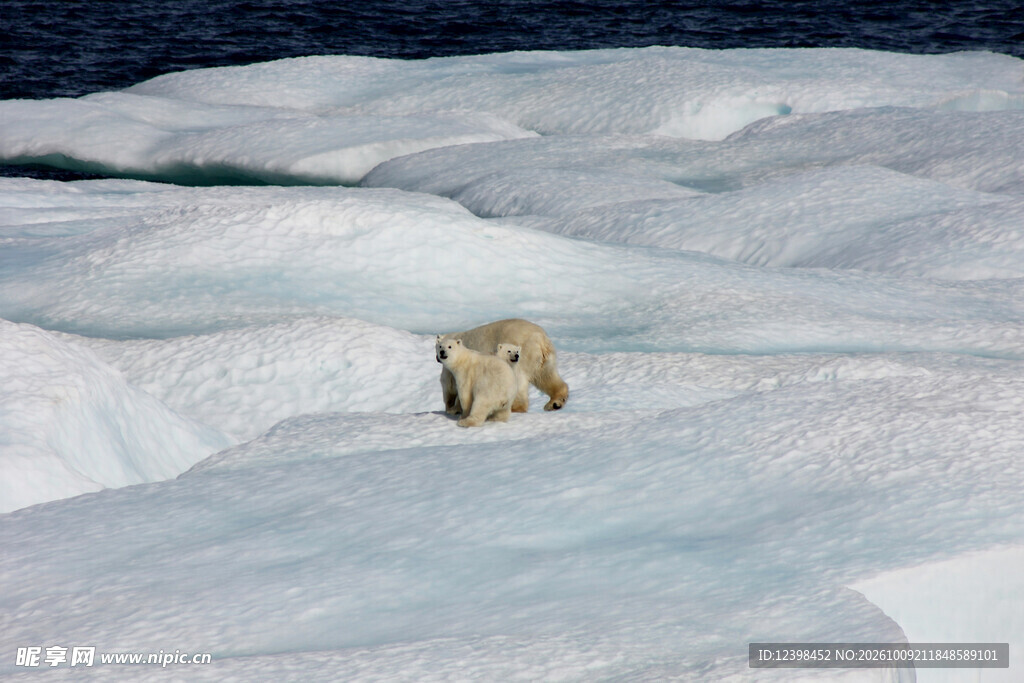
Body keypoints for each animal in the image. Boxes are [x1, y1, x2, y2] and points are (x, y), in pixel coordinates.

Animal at [438, 319, 568, 414]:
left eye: (439, 347)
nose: (439, 356)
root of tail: (540, 339)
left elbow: (450, 386)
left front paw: (452, 409)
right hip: (543, 360)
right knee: (546, 376)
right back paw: (555, 403)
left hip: (519, 356)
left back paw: (514, 407)